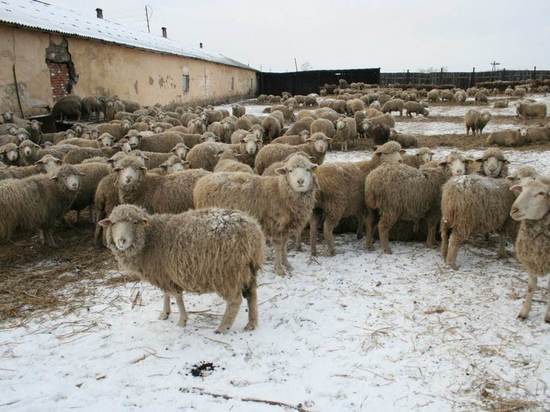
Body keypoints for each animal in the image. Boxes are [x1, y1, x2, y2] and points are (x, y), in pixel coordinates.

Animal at [508, 175, 550, 320]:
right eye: (522, 189)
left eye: (541, 193)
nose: (514, 210)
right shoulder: (531, 260)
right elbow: (531, 287)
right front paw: (524, 312)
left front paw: (548, 316)